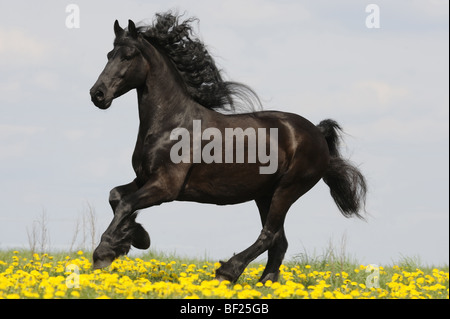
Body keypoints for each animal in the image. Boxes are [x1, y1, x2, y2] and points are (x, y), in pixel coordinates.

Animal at [90, 11, 366, 284]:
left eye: (127, 56)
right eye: (109, 55)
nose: (97, 94)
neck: (171, 124)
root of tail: (317, 133)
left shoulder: (165, 187)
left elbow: (126, 204)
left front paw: (104, 252)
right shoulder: (144, 178)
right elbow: (116, 196)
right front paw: (135, 238)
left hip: (287, 189)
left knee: (269, 235)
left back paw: (227, 273)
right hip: (265, 194)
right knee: (278, 242)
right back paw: (265, 284)